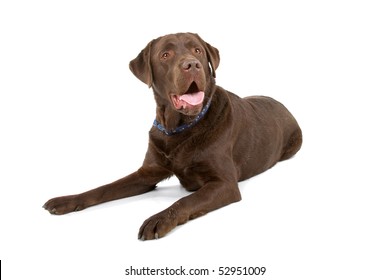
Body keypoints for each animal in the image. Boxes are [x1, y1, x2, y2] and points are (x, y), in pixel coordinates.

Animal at [44, 32, 304, 238]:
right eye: (165, 55)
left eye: (197, 50)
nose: (191, 65)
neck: (177, 128)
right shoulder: (146, 174)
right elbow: (104, 188)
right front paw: (67, 200)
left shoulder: (224, 183)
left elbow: (186, 200)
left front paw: (158, 218)